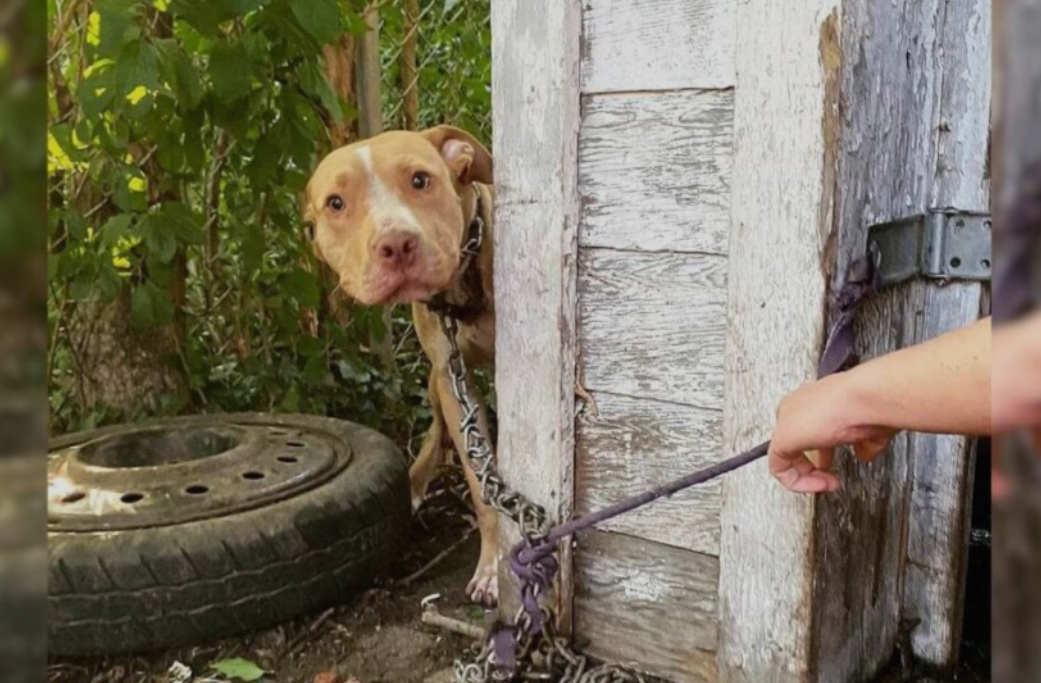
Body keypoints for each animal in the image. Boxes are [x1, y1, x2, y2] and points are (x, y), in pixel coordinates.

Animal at [303, 126, 499, 603]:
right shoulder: (452, 378)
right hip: (435, 381)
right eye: (336, 203)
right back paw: (413, 481)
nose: (396, 244)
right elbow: (480, 481)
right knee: (437, 429)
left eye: (420, 180)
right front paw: (495, 563)